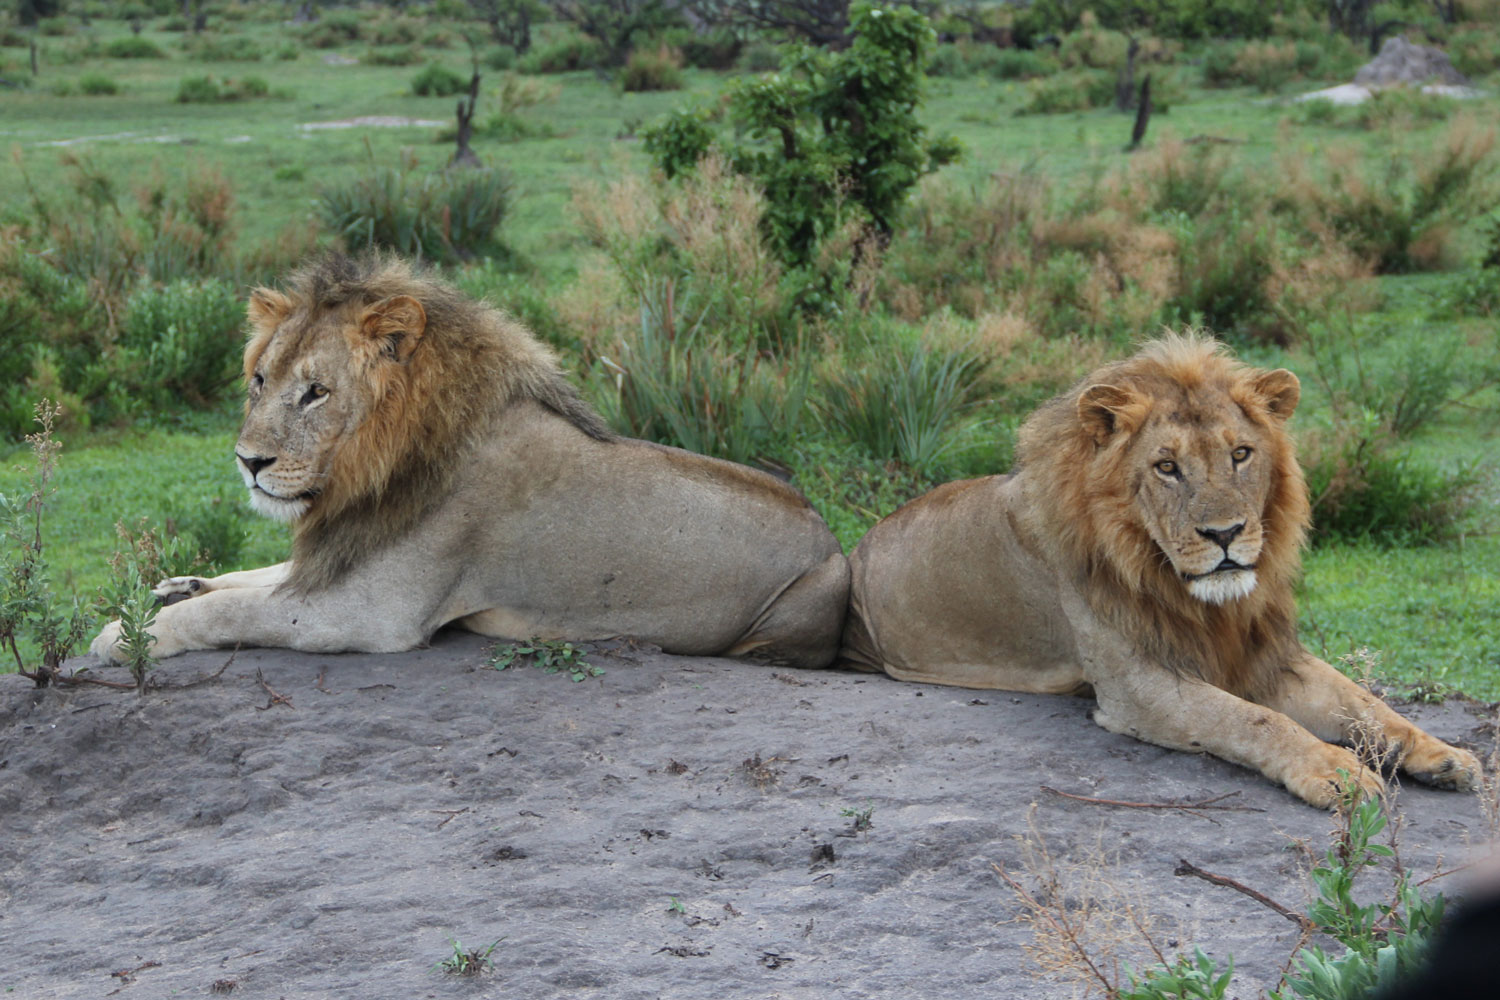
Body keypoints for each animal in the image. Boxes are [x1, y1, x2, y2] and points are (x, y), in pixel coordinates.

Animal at [90, 254, 848, 668]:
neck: (374, 469)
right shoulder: (343, 551)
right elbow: (255, 578)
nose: (249, 462)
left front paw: (128, 635)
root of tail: (827, 530)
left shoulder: (371, 614)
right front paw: (174, 585)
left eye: (315, 393)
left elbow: (235, 612)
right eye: (258, 381)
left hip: (819, 590)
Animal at [840, 333, 1480, 808]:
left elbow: (1363, 702)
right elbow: (1252, 720)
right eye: (1167, 467)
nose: (1224, 534)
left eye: (1241, 454)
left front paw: (1441, 754)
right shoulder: (1138, 686)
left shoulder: (1264, 652)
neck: (1204, 601)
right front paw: (1336, 770)